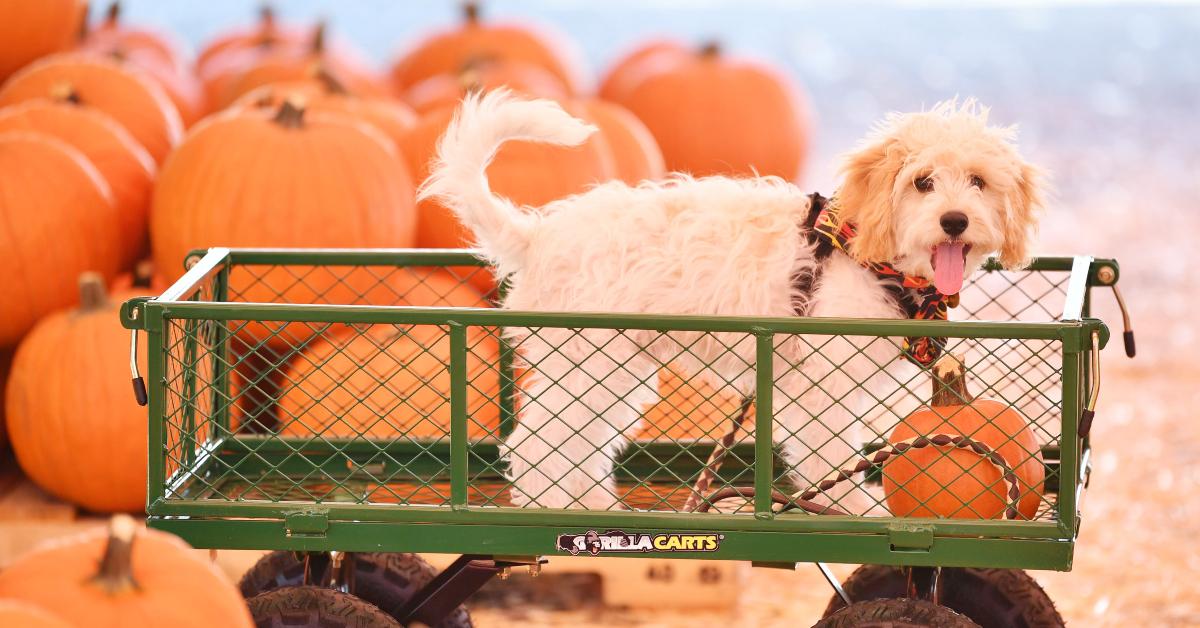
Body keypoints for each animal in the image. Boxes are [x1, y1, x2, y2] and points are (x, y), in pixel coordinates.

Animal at [422, 90, 1041, 511]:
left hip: (611, 374)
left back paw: (591, 503)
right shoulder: (818, 389)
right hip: (587, 368)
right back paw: (556, 508)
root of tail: (539, 234)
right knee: (533, 446)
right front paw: (855, 509)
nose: (955, 221)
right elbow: (828, 454)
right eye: (922, 182)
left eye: (978, 181)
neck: (864, 252)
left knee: (573, 445)